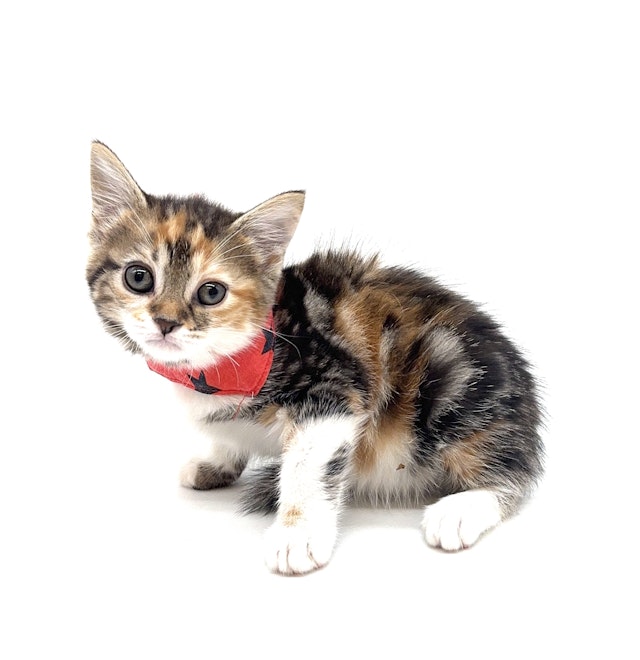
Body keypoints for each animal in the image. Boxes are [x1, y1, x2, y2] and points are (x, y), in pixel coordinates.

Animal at [87, 141, 544, 575]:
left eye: (211, 292)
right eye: (138, 277)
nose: (166, 322)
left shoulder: (333, 387)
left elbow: (308, 467)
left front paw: (297, 535)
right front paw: (216, 460)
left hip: (450, 375)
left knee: (514, 473)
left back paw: (465, 507)